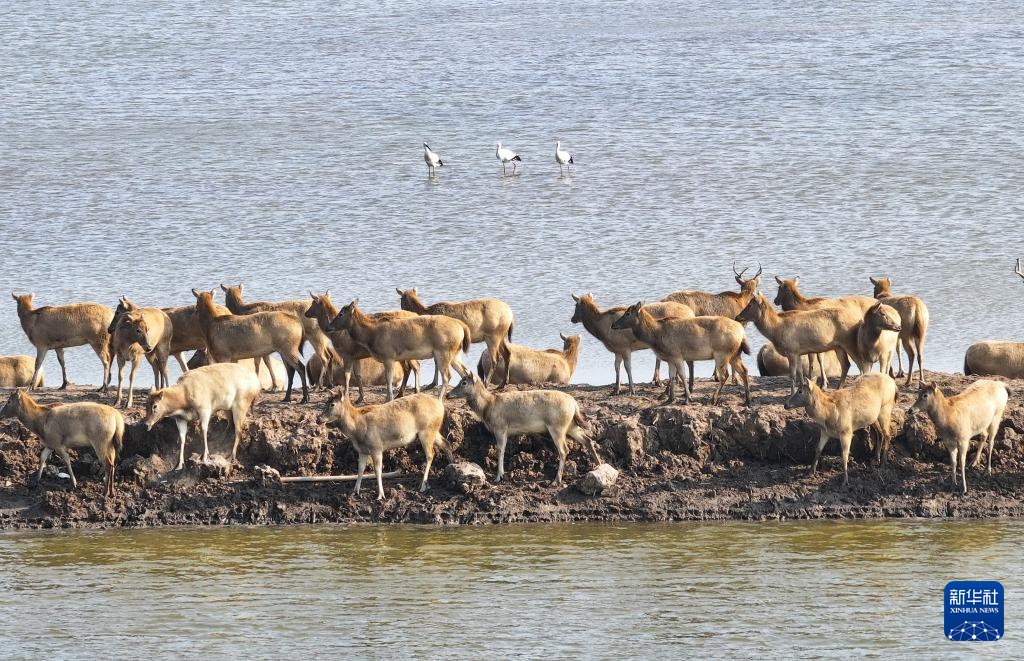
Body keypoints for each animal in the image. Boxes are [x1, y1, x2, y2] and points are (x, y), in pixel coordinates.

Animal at [317, 390, 450, 499]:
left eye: (332, 404)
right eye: (325, 402)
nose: (318, 419)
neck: (355, 431)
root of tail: (442, 407)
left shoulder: (376, 447)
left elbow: (378, 470)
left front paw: (381, 495)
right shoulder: (362, 450)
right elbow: (360, 469)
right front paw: (355, 491)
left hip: (427, 431)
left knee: (430, 455)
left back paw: (423, 485)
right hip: (434, 431)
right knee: (446, 443)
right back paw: (450, 465)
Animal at [327, 298, 471, 401]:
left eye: (341, 314)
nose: (329, 327)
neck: (371, 335)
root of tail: (462, 327)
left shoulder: (388, 357)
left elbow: (388, 378)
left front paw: (389, 398)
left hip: (443, 353)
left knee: (447, 376)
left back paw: (439, 398)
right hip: (455, 354)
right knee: (465, 371)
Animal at [448, 372, 598, 487]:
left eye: (464, 382)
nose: (448, 394)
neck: (487, 406)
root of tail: (574, 403)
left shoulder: (500, 427)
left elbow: (500, 450)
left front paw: (498, 477)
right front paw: (501, 474)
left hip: (557, 426)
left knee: (564, 450)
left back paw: (556, 480)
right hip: (571, 425)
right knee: (587, 440)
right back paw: (598, 464)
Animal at [606, 300, 753, 403]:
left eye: (627, 313)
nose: (613, 325)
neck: (655, 337)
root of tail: (742, 333)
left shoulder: (677, 355)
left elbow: (682, 375)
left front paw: (687, 399)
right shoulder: (670, 358)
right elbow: (671, 376)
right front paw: (670, 398)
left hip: (722, 354)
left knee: (724, 375)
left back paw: (713, 399)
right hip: (735, 354)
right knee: (744, 371)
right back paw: (747, 400)